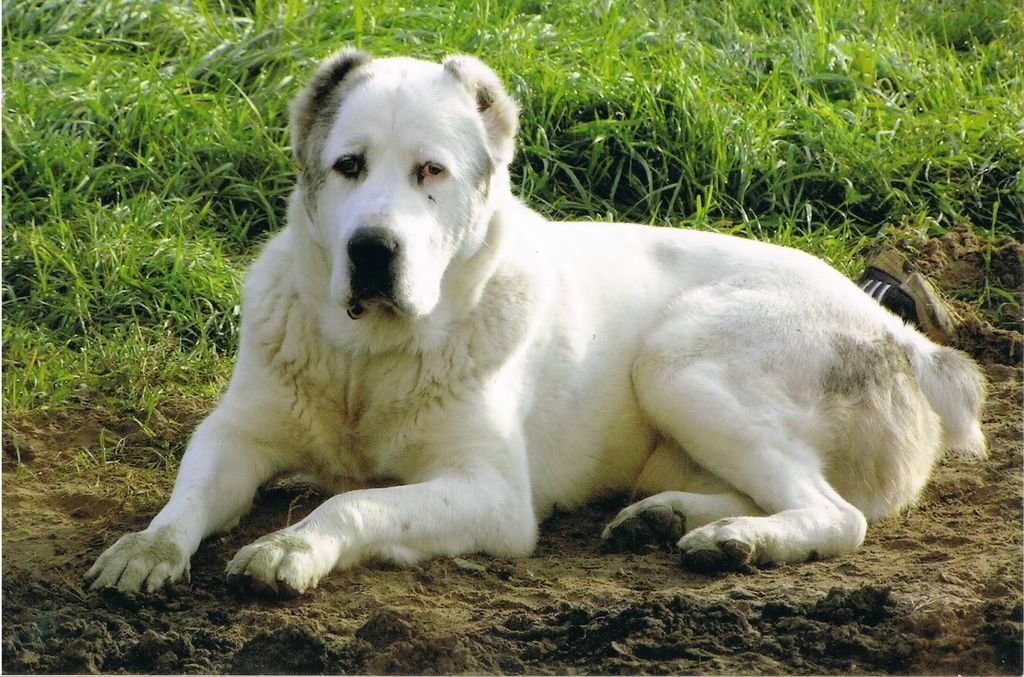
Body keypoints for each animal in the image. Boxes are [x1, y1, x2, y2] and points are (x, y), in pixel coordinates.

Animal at [86, 50, 983, 594]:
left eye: (431, 172)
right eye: (348, 166)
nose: (372, 250)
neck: (366, 360)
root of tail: (906, 337)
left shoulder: (490, 494)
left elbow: (357, 504)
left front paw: (292, 544)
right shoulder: (234, 432)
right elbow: (187, 496)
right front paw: (147, 548)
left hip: (679, 359)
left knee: (838, 514)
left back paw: (738, 541)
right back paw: (672, 518)